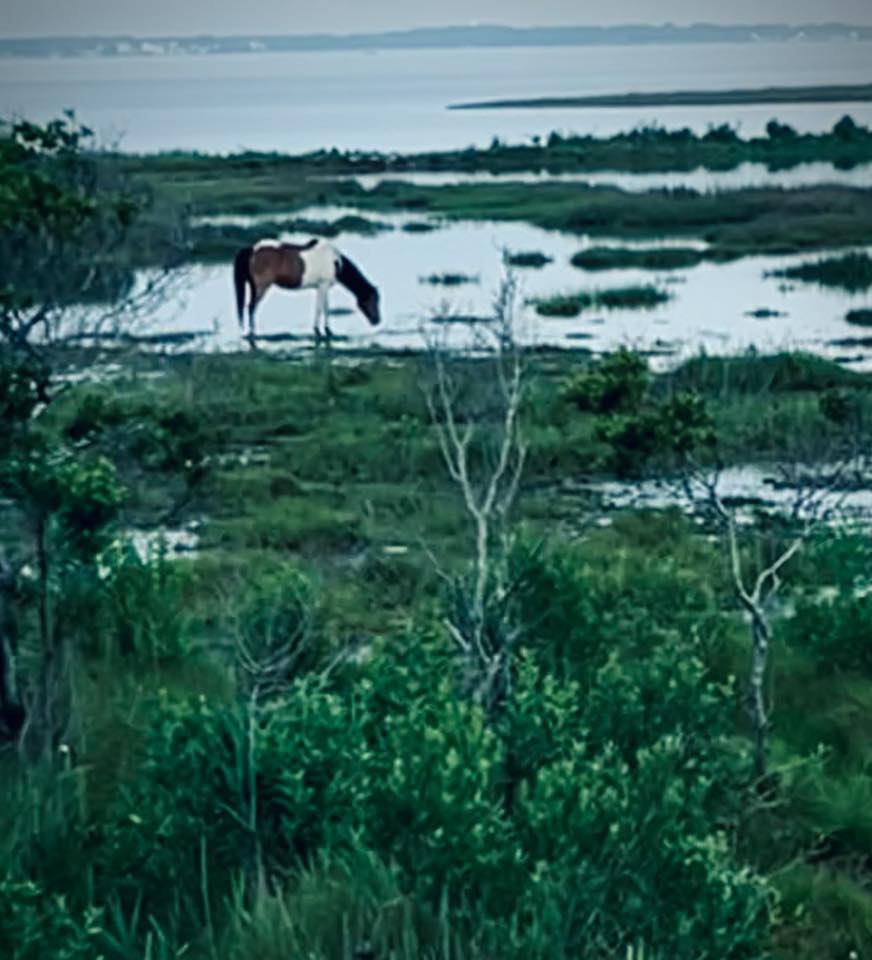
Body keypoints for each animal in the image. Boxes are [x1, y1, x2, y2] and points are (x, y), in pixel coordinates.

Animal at [233, 238, 380, 341]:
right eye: (372, 300)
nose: (377, 320)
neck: (335, 261)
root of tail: (252, 249)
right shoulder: (323, 285)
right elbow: (320, 308)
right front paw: (319, 330)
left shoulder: (322, 287)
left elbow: (325, 308)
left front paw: (327, 330)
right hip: (261, 287)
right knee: (251, 307)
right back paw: (252, 332)